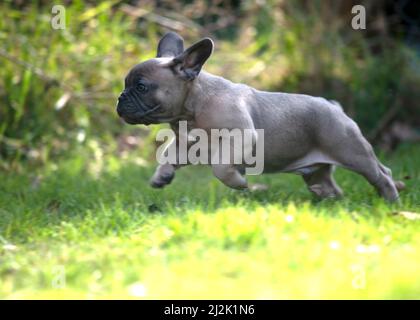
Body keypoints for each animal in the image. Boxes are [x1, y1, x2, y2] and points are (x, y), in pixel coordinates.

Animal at [115, 31, 404, 200]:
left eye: (141, 87)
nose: (120, 98)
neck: (193, 108)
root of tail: (335, 106)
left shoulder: (240, 137)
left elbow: (221, 167)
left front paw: (239, 183)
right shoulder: (187, 144)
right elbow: (168, 156)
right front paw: (162, 176)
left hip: (352, 151)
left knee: (382, 174)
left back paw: (390, 200)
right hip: (317, 171)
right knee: (331, 186)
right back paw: (330, 201)